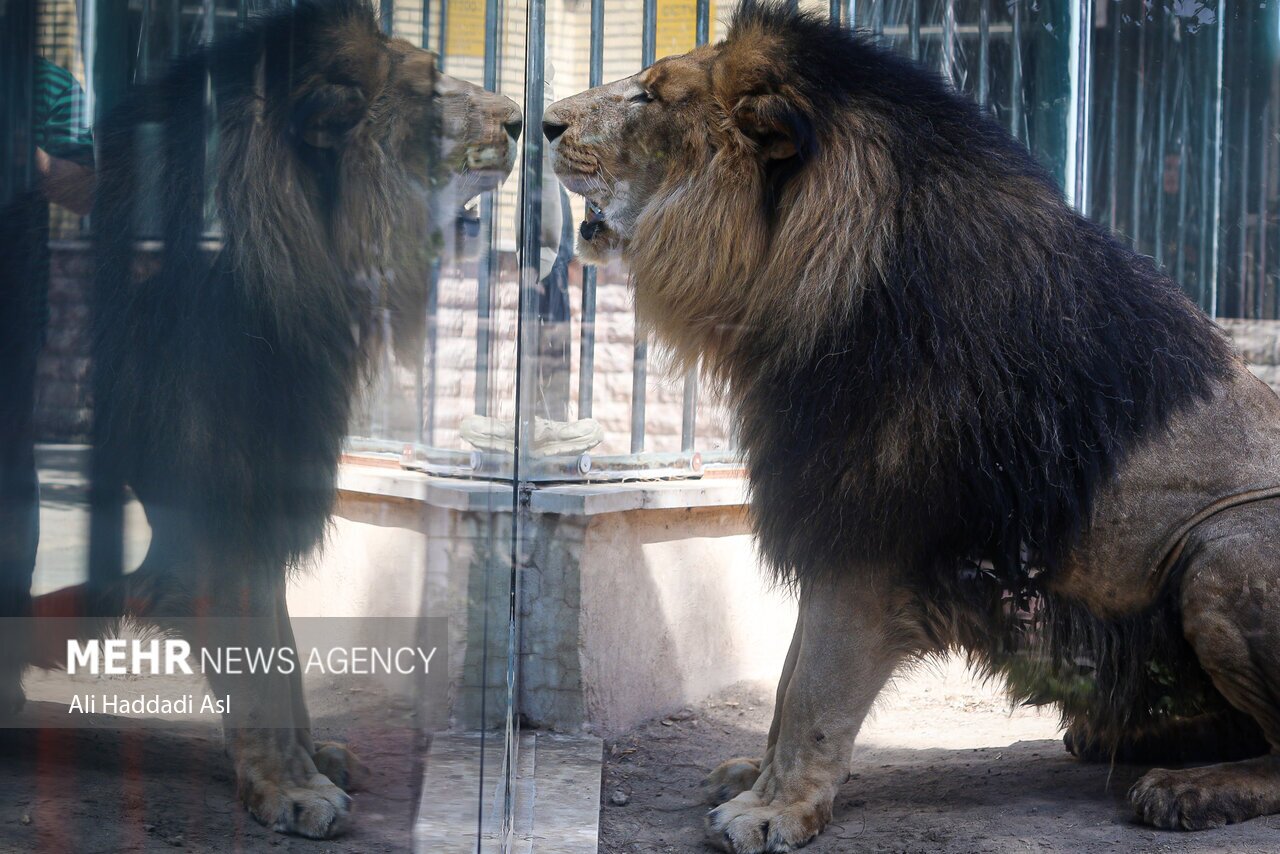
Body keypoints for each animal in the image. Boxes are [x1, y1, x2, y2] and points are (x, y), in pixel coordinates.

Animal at [1, 0, 519, 839]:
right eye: (429, 92)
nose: (521, 120)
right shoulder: (215, 514)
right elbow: (259, 670)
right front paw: (293, 789)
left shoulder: (266, 495)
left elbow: (285, 653)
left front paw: (313, 761)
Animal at [547, 3, 1280, 850]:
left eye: (651, 96)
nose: (545, 121)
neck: (799, 279)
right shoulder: (830, 518)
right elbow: (789, 681)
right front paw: (757, 779)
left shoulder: (867, 535)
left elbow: (815, 691)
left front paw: (771, 809)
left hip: (1221, 551)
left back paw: (1190, 790)